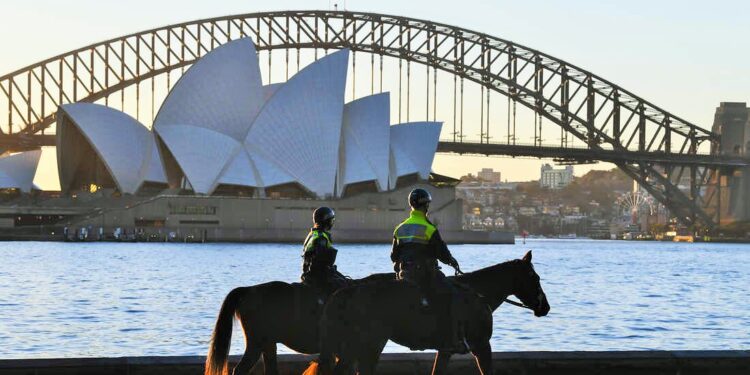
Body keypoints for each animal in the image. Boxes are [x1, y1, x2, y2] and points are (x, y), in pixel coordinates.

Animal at [306, 253, 552, 375]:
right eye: (535, 277)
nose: (545, 307)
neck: (478, 292)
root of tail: (348, 290)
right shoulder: (482, 345)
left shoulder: (445, 350)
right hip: (368, 344)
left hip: (356, 345)